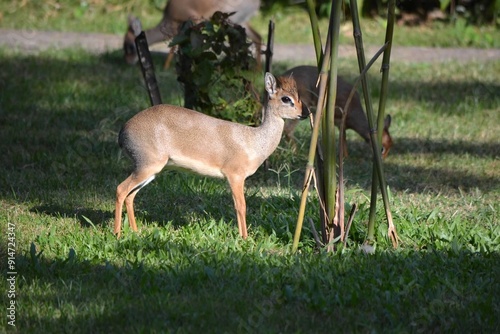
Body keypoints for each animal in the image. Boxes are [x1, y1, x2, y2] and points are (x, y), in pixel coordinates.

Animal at [115, 73, 308, 240]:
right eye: (286, 98)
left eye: (298, 96)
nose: (305, 113)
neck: (253, 141)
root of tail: (123, 130)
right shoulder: (235, 176)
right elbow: (241, 206)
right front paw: (245, 238)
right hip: (147, 167)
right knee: (120, 189)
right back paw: (117, 234)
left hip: (151, 171)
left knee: (130, 195)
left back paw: (135, 231)